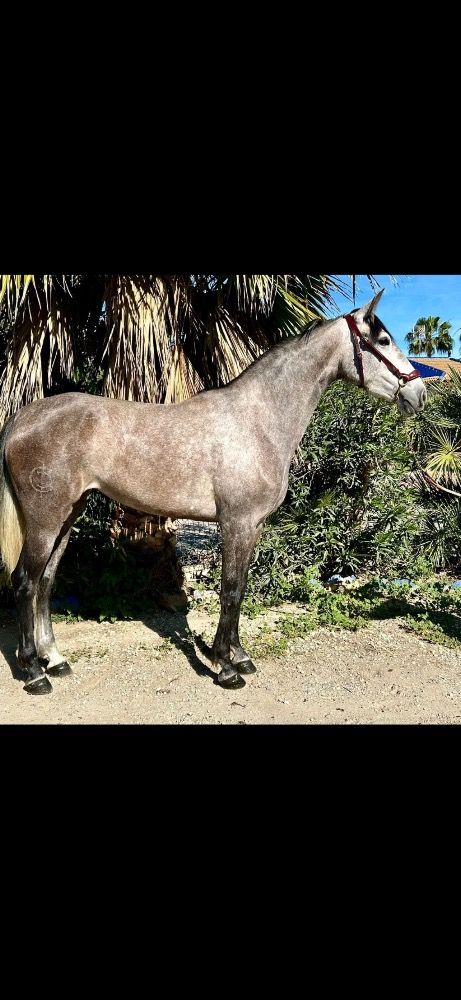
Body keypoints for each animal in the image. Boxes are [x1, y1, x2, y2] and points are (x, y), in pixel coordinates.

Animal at [0, 289, 426, 695]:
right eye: (384, 340)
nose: (419, 394)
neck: (257, 420)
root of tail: (22, 418)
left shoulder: (253, 526)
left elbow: (239, 589)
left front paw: (239, 656)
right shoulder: (236, 523)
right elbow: (231, 589)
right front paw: (225, 667)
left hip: (67, 515)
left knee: (45, 581)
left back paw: (56, 660)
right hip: (45, 520)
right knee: (24, 581)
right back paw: (35, 673)